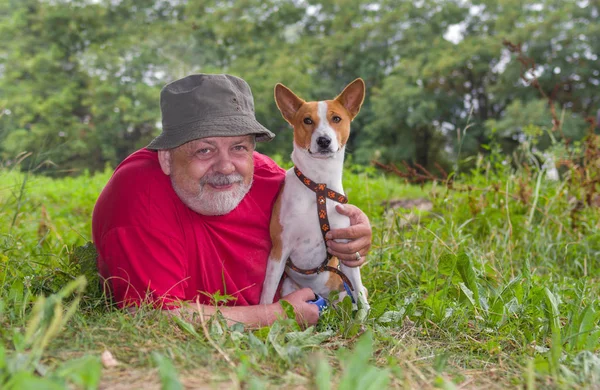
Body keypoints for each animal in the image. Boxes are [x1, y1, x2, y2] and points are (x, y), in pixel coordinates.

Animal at [258, 78, 368, 310]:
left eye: (337, 118)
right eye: (307, 121)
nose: (323, 140)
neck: (319, 187)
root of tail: (325, 298)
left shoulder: (345, 249)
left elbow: (362, 302)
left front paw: (366, 319)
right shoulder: (280, 250)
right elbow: (266, 294)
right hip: (288, 286)